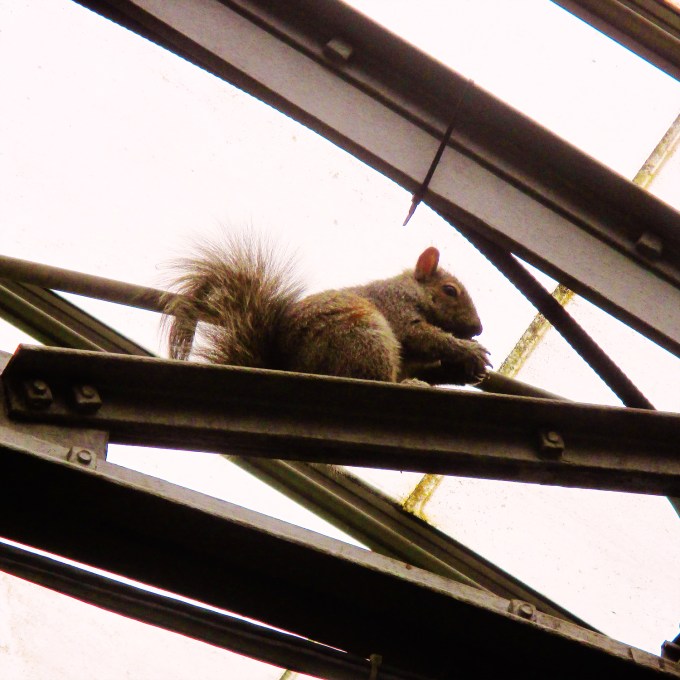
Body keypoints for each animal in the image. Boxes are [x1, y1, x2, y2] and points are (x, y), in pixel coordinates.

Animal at [162, 237, 490, 385]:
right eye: (450, 291)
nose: (478, 328)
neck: (411, 290)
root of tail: (288, 366)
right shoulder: (395, 308)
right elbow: (421, 335)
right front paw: (469, 351)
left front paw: (463, 370)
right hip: (363, 337)